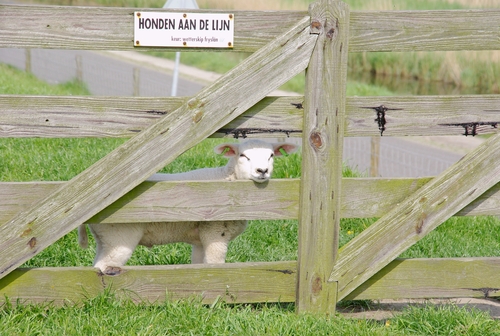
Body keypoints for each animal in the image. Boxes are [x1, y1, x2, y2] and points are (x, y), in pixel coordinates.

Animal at [78, 139, 296, 272]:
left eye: (271, 155)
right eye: (243, 156)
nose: (262, 171)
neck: (226, 179)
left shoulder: (200, 238)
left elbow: (199, 264)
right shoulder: (215, 232)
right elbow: (215, 263)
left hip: (105, 238)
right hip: (119, 237)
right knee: (103, 267)